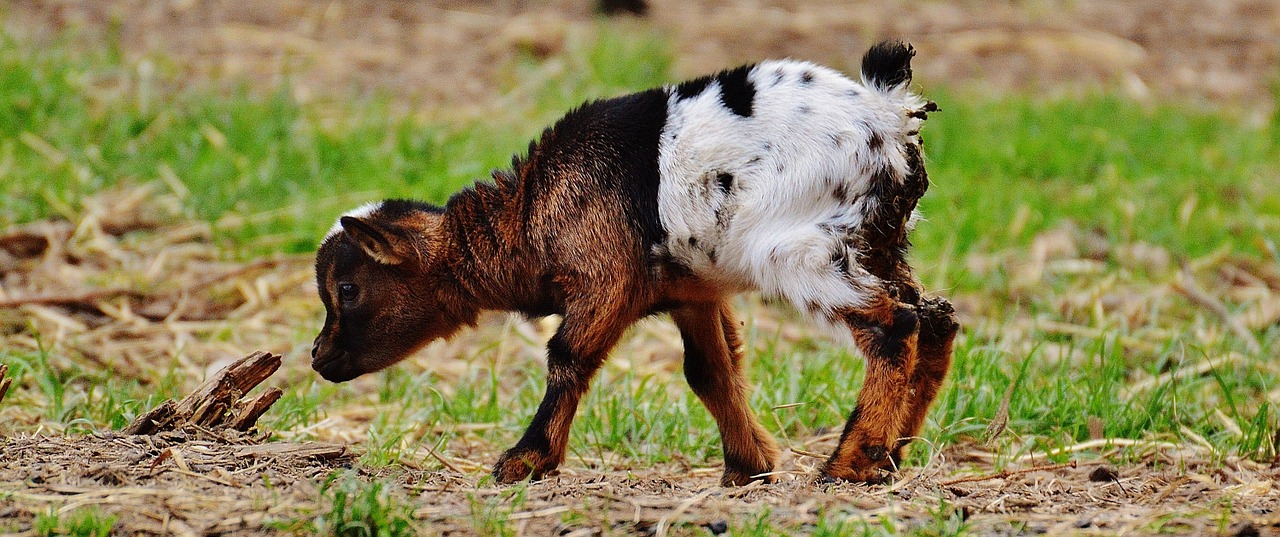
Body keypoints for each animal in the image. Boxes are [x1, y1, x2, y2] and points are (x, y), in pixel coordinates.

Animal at [309, 40, 957, 485]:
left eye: (348, 290)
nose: (317, 358)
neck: (529, 209)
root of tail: (888, 117)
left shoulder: (605, 281)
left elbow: (568, 357)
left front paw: (524, 462)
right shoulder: (693, 292)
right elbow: (711, 372)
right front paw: (748, 467)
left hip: (802, 251)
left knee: (893, 324)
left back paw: (850, 464)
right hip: (880, 243)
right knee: (936, 318)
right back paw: (893, 452)